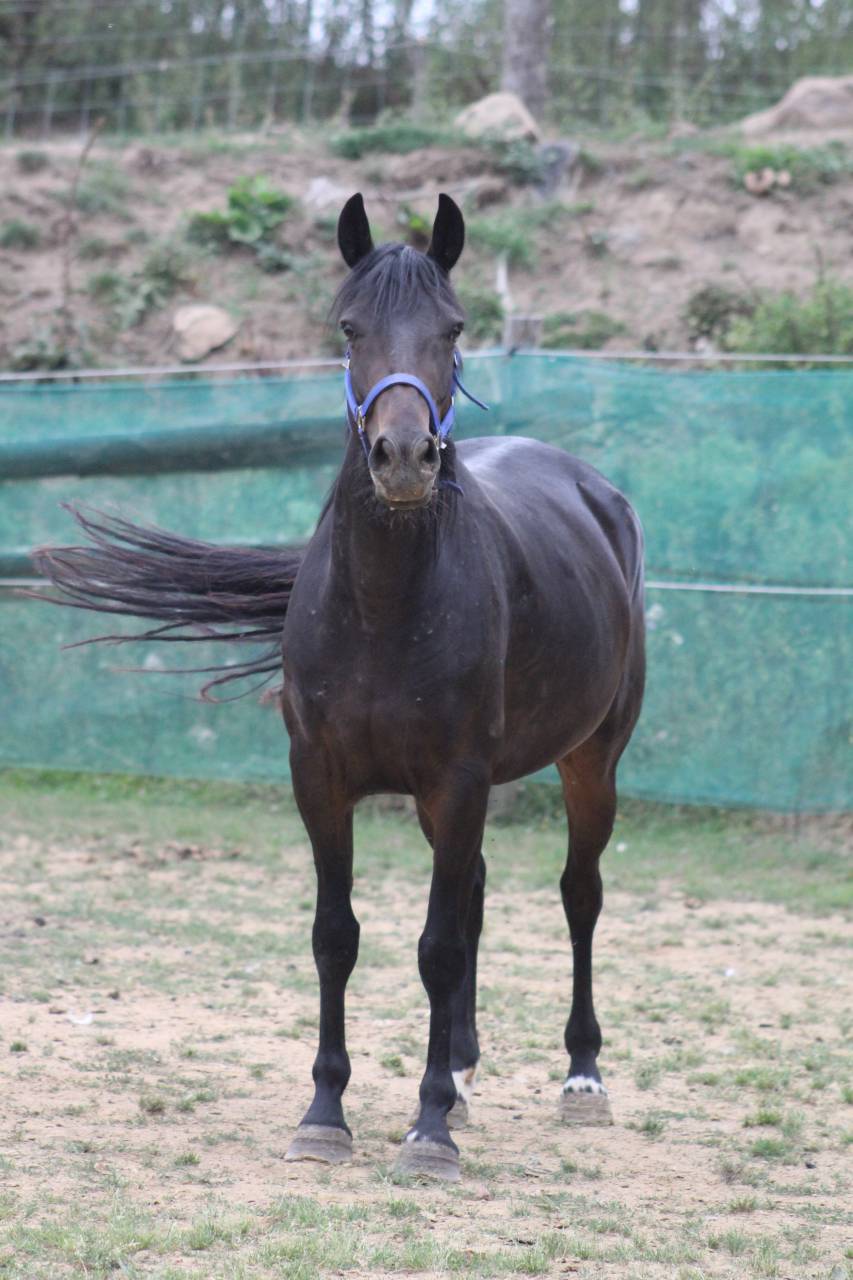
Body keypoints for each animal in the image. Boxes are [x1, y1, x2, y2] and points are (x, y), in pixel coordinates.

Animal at [34, 192, 646, 1182]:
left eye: (452, 327)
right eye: (349, 326)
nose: (402, 457)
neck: (387, 606)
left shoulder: (458, 779)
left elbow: (437, 946)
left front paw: (427, 1130)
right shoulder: (319, 778)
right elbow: (338, 936)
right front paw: (327, 1114)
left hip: (591, 759)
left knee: (577, 894)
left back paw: (580, 1076)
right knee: (476, 890)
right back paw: (463, 1071)